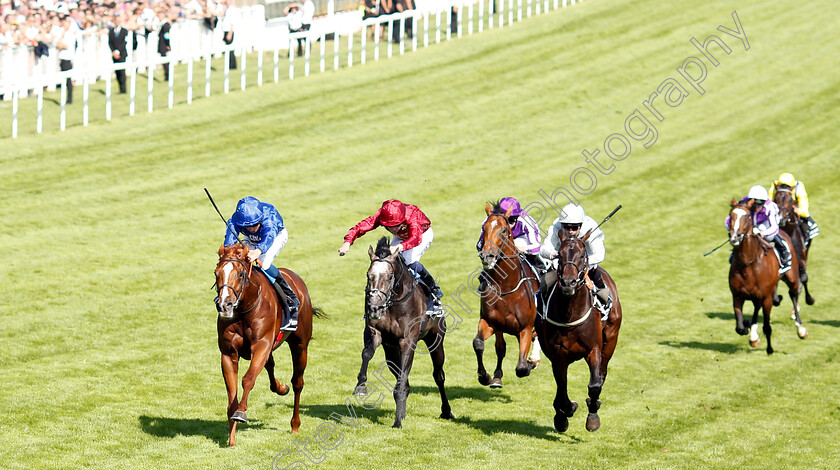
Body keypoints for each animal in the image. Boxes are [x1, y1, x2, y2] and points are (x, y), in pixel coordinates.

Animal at [215, 244, 324, 446]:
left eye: (240, 274)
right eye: (216, 273)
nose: (225, 305)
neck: (244, 309)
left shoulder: (262, 345)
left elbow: (248, 379)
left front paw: (241, 413)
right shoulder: (228, 353)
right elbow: (232, 392)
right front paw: (232, 437)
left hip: (300, 345)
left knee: (297, 382)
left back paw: (295, 424)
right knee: (271, 367)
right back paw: (281, 387)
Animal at [352, 237, 456, 428]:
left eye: (389, 276)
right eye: (368, 275)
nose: (374, 307)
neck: (394, 302)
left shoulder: (407, 341)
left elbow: (402, 381)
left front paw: (397, 422)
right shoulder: (375, 332)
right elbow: (367, 353)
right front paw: (361, 386)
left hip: (436, 340)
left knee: (439, 376)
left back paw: (446, 411)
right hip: (391, 351)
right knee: (403, 378)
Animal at [472, 202, 540, 390]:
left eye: (503, 230)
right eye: (484, 228)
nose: (487, 256)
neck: (506, 286)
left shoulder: (525, 328)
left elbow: (522, 368)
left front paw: (531, 362)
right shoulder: (490, 322)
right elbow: (479, 344)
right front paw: (486, 376)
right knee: (500, 347)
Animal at [536, 231, 620, 434]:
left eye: (582, 256)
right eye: (559, 254)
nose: (568, 282)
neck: (569, 314)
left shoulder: (593, 349)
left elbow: (595, 385)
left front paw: (593, 417)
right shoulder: (558, 355)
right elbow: (562, 387)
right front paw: (564, 413)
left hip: (611, 339)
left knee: (602, 373)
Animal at [724, 201, 804, 352]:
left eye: (747, 216)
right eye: (731, 215)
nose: (735, 237)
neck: (748, 265)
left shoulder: (767, 298)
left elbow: (767, 326)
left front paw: (770, 349)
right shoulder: (737, 295)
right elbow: (739, 328)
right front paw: (747, 326)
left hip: (791, 277)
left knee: (794, 295)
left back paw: (800, 328)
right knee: (756, 308)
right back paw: (753, 335)